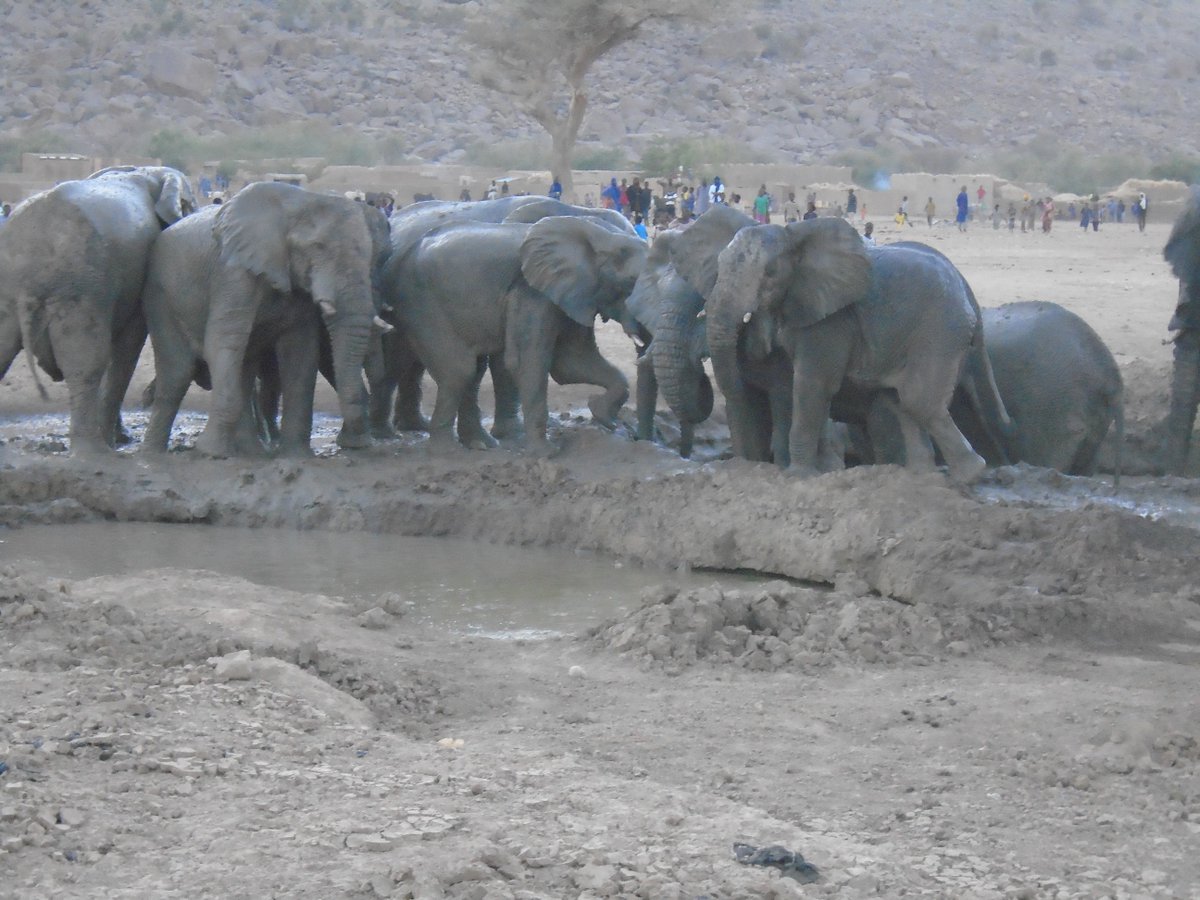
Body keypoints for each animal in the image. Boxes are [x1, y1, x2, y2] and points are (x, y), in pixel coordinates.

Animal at [0, 165, 196, 453]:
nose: (146, 399)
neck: (147, 172)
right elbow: (126, 348)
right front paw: (117, 440)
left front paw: (121, 438)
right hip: (79, 286)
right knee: (86, 364)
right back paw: (97, 453)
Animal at [141, 181, 391, 457]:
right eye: (318, 247)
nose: (358, 444)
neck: (301, 201)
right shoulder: (233, 272)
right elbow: (223, 341)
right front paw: (210, 452)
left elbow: (300, 350)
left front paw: (296, 456)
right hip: (160, 296)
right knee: (177, 373)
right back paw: (152, 454)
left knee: (243, 370)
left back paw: (251, 451)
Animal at [370, 197, 637, 443]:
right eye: (626, 287)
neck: (575, 212)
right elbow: (506, 362)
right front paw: (514, 435)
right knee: (397, 362)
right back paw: (389, 433)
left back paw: (416, 426)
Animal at [703, 219, 1009, 482]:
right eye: (718, 265)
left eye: (769, 273)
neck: (793, 235)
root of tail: (969, 297)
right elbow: (809, 389)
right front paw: (825, 470)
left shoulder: (832, 319)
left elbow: (812, 385)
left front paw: (799, 476)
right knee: (902, 401)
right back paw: (921, 475)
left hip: (940, 330)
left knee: (918, 400)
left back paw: (969, 474)